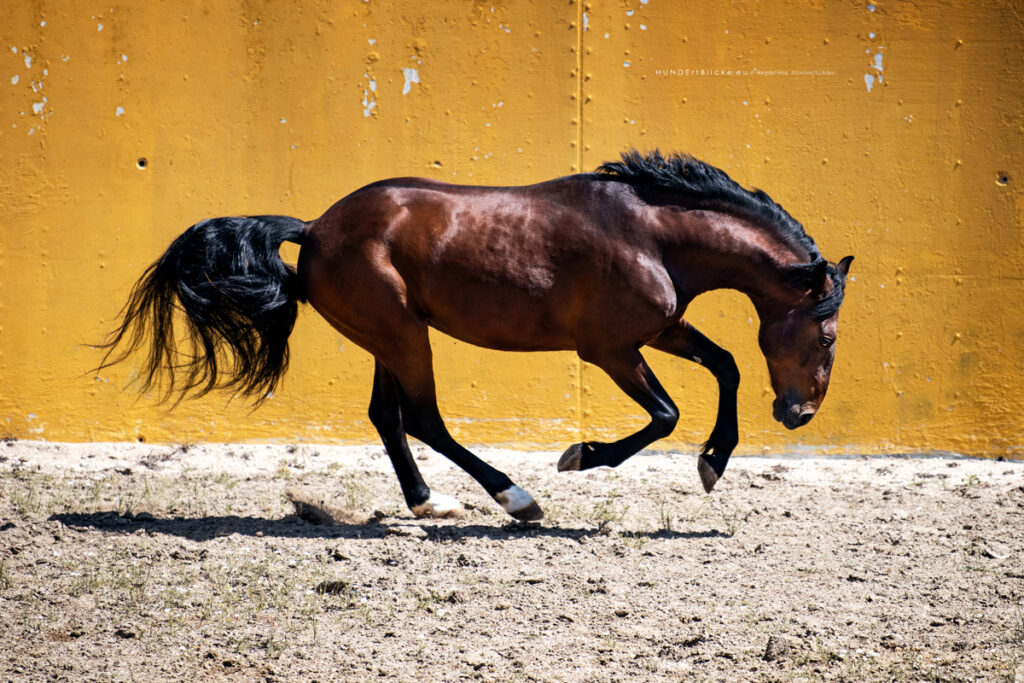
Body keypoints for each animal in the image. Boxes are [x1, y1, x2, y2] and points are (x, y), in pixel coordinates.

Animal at [97, 150, 847, 524]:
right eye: (829, 335)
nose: (799, 412)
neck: (651, 232)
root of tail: (312, 229)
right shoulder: (609, 348)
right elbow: (665, 413)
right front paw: (580, 457)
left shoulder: (661, 327)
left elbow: (727, 365)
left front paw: (713, 462)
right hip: (403, 334)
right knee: (424, 418)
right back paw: (517, 499)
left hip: (390, 337)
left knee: (388, 415)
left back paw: (429, 501)